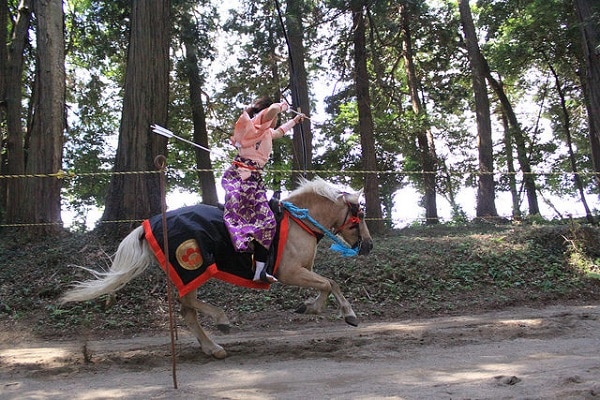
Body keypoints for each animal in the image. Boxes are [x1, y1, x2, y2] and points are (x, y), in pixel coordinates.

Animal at [59, 178, 370, 360]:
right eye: (359, 216)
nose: (368, 246)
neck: (298, 222)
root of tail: (149, 225)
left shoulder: (303, 272)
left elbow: (328, 284)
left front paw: (312, 306)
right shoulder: (290, 273)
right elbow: (329, 283)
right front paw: (343, 313)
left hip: (189, 274)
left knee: (188, 309)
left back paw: (212, 345)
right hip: (193, 270)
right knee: (188, 307)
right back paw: (220, 325)